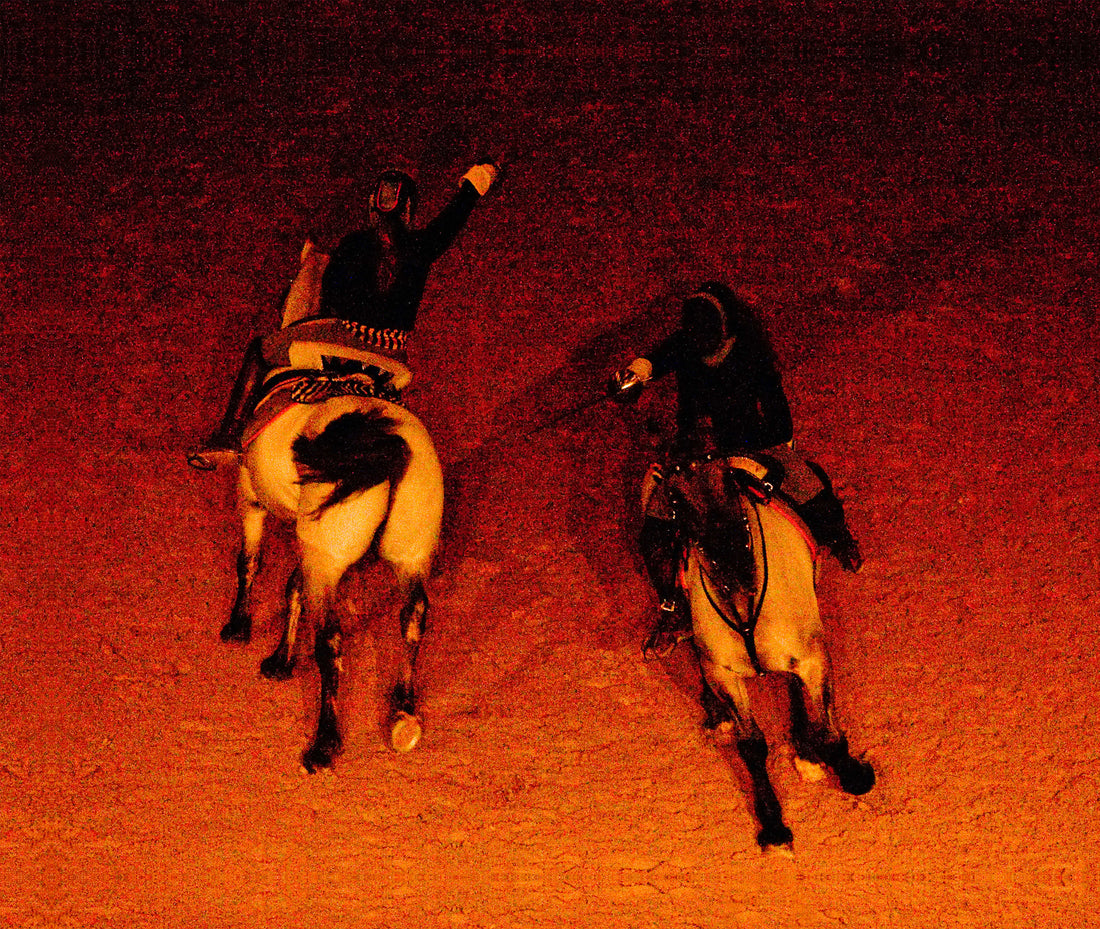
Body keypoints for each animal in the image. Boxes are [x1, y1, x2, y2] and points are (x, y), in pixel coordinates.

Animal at [655, 452, 871, 853]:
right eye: (675, 501)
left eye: (728, 481)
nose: (731, 559)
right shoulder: (724, 674)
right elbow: (752, 747)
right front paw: (773, 825)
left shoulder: (812, 657)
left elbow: (827, 729)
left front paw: (852, 774)